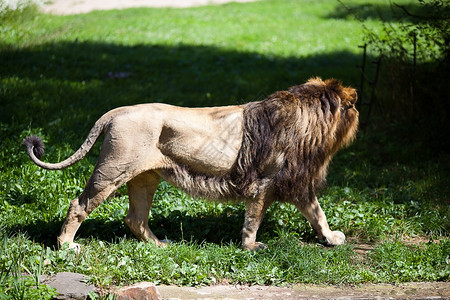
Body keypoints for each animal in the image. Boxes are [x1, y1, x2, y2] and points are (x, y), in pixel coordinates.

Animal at [23, 77, 358, 251]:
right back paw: (66, 246)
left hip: (145, 177)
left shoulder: (297, 183)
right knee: (78, 205)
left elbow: (318, 213)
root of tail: (115, 111)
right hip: (112, 171)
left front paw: (330, 238)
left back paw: (160, 245)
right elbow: (253, 220)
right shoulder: (264, 182)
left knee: (135, 218)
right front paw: (251, 248)